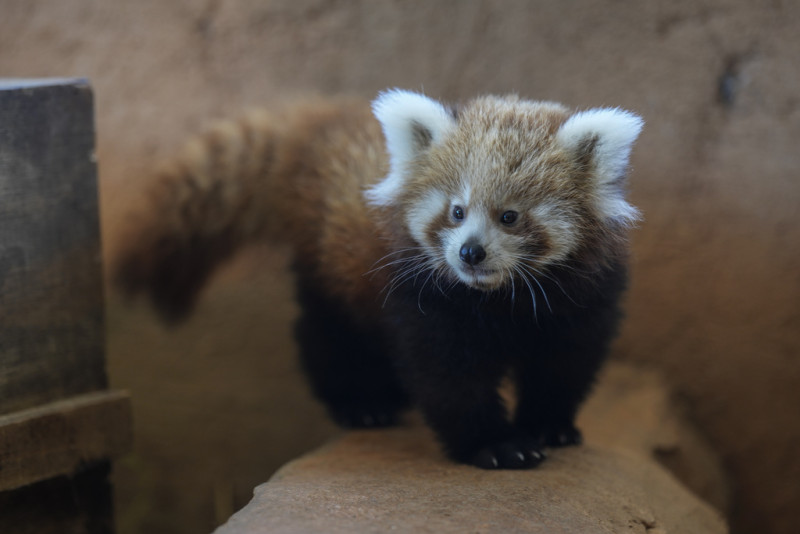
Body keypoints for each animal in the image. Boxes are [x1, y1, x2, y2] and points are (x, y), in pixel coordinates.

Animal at [115, 90, 644, 472]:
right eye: (456, 211)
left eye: (509, 216)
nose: (470, 252)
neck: (498, 299)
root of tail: (319, 133)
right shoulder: (426, 298)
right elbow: (449, 376)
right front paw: (495, 444)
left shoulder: (582, 299)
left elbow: (565, 362)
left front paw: (550, 426)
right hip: (330, 267)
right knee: (328, 335)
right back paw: (361, 405)